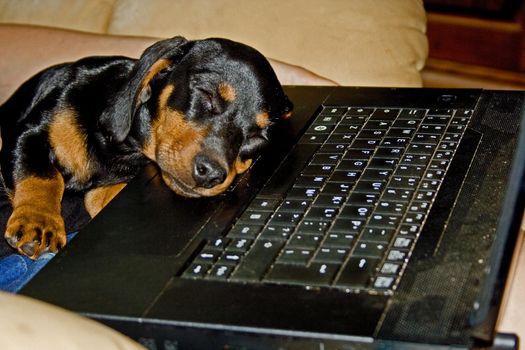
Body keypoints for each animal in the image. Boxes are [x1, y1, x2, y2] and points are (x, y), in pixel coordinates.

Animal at [0, 36, 292, 260]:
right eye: (207, 95)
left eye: (257, 138)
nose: (211, 175)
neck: (121, 147)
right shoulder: (27, 133)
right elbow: (43, 176)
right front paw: (39, 222)